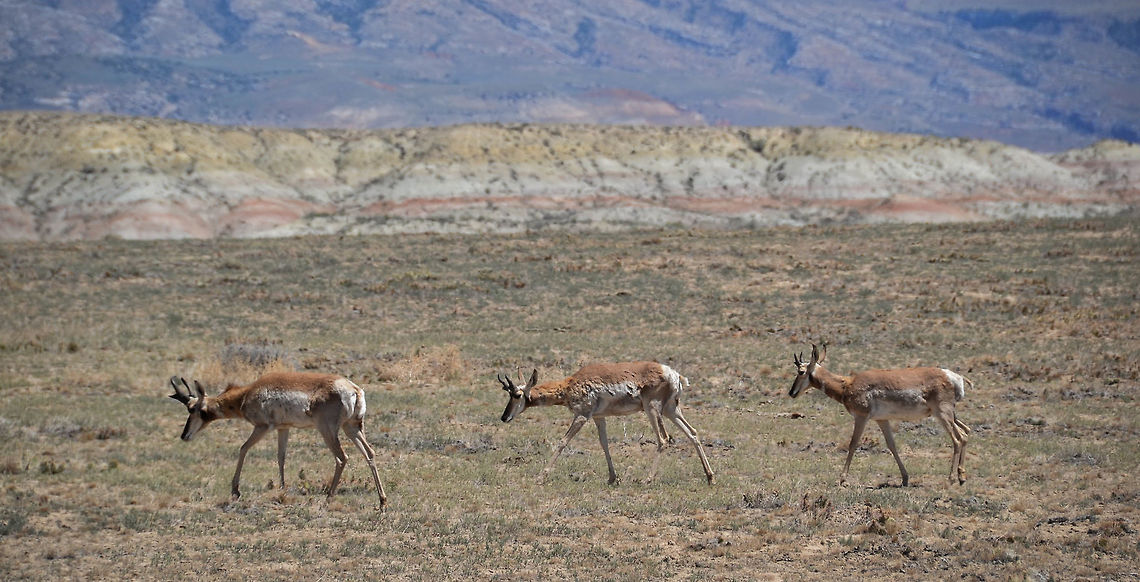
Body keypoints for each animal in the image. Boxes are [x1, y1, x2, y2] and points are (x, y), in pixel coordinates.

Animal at [167, 372, 388, 506]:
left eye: (193, 409)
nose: (184, 435)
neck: (247, 394)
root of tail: (353, 389)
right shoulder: (284, 428)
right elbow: (281, 456)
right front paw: (282, 489)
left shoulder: (263, 427)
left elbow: (243, 448)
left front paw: (235, 490)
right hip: (352, 428)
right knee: (369, 453)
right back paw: (382, 500)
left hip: (327, 431)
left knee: (342, 458)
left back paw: (328, 497)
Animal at [497, 362, 716, 485]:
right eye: (508, 394)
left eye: (517, 395)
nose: (504, 417)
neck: (569, 385)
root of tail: (673, 373)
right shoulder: (598, 418)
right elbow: (604, 444)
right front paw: (612, 478)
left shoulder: (582, 416)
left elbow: (562, 442)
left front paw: (541, 477)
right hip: (671, 410)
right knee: (692, 433)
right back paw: (710, 477)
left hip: (653, 409)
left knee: (663, 439)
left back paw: (647, 479)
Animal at [788, 344, 972, 487]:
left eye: (801, 371)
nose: (791, 393)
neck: (848, 385)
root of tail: (954, 376)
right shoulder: (882, 420)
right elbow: (892, 445)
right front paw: (905, 478)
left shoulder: (861, 417)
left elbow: (853, 444)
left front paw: (842, 479)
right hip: (950, 415)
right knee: (966, 432)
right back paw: (961, 477)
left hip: (943, 415)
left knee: (958, 438)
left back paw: (951, 479)